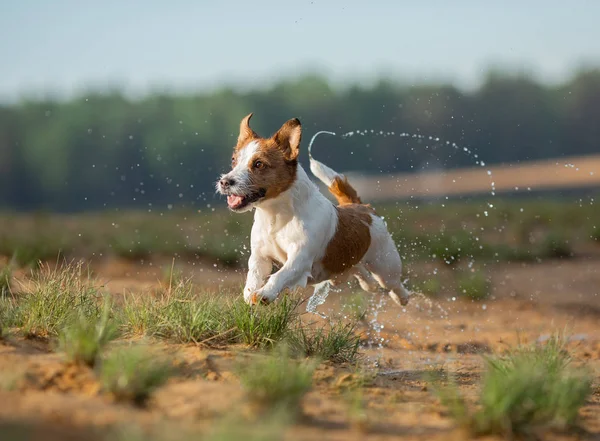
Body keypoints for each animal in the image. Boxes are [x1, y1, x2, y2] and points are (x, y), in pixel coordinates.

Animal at [217, 113, 412, 306]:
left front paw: (265, 293)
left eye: (258, 164)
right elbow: (254, 275)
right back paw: (368, 282)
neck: (276, 216)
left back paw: (401, 297)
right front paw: (249, 293)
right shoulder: (260, 256)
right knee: (362, 275)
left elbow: (280, 275)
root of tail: (363, 208)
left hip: (386, 266)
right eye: (234, 161)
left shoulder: (300, 257)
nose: (225, 182)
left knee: (393, 284)